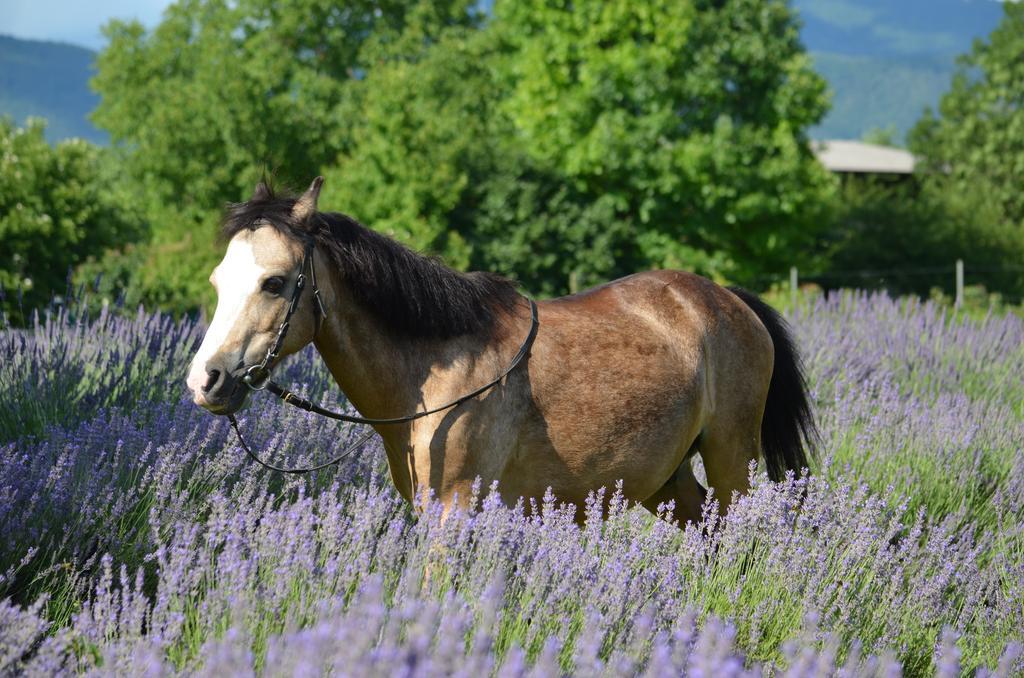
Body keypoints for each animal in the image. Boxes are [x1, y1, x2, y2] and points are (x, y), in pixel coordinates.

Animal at [184, 176, 811, 524]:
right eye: (216, 281)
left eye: (274, 282)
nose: (205, 380)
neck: (437, 372)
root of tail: (724, 299)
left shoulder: (455, 509)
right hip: (665, 478)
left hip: (733, 460)